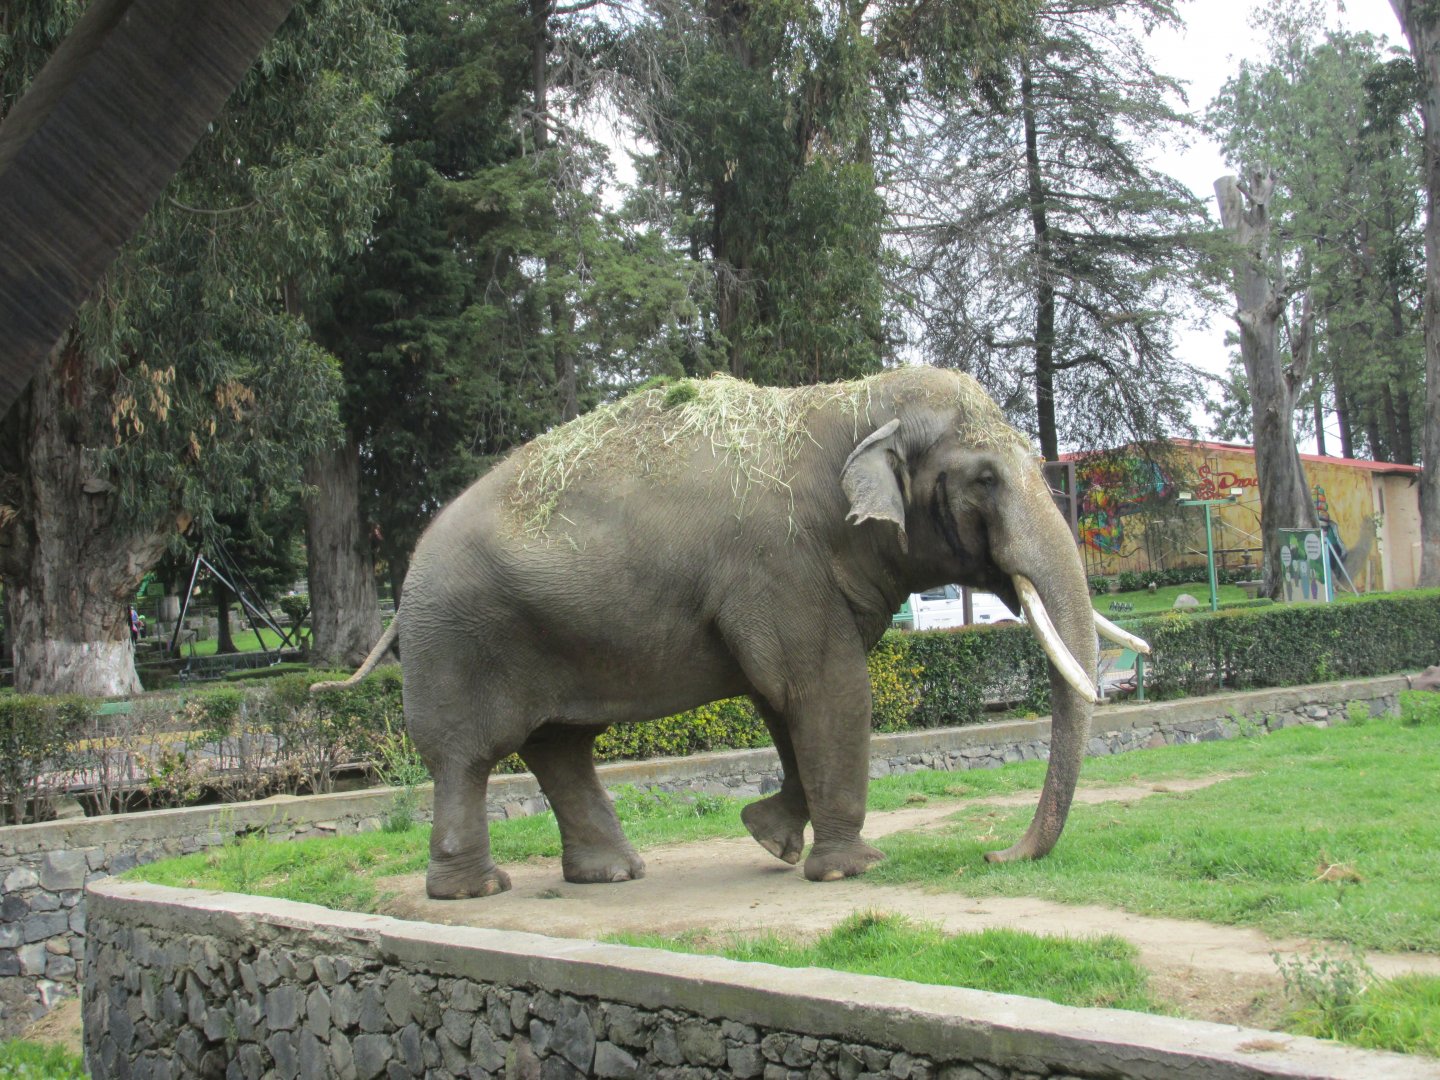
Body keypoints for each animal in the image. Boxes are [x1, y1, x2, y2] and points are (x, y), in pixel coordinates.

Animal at [322, 366, 1148, 899]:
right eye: (984, 478)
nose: (994, 854)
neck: (851, 400)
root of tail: (407, 571)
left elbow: (785, 700)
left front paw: (770, 836)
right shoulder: (779, 566)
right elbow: (825, 687)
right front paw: (854, 868)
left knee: (560, 748)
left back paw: (611, 875)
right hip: (458, 641)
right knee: (467, 756)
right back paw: (476, 891)